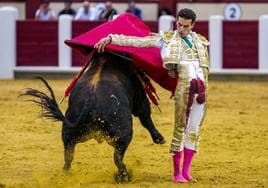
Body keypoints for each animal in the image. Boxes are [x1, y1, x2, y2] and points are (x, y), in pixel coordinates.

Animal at [21, 52, 164, 183]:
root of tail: (92, 97)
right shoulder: (139, 97)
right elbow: (145, 116)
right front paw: (159, 138)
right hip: (123, 132)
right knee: (118, 156)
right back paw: (123, 176)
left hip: (69, 132)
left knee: (68, 156)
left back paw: (65, 176)